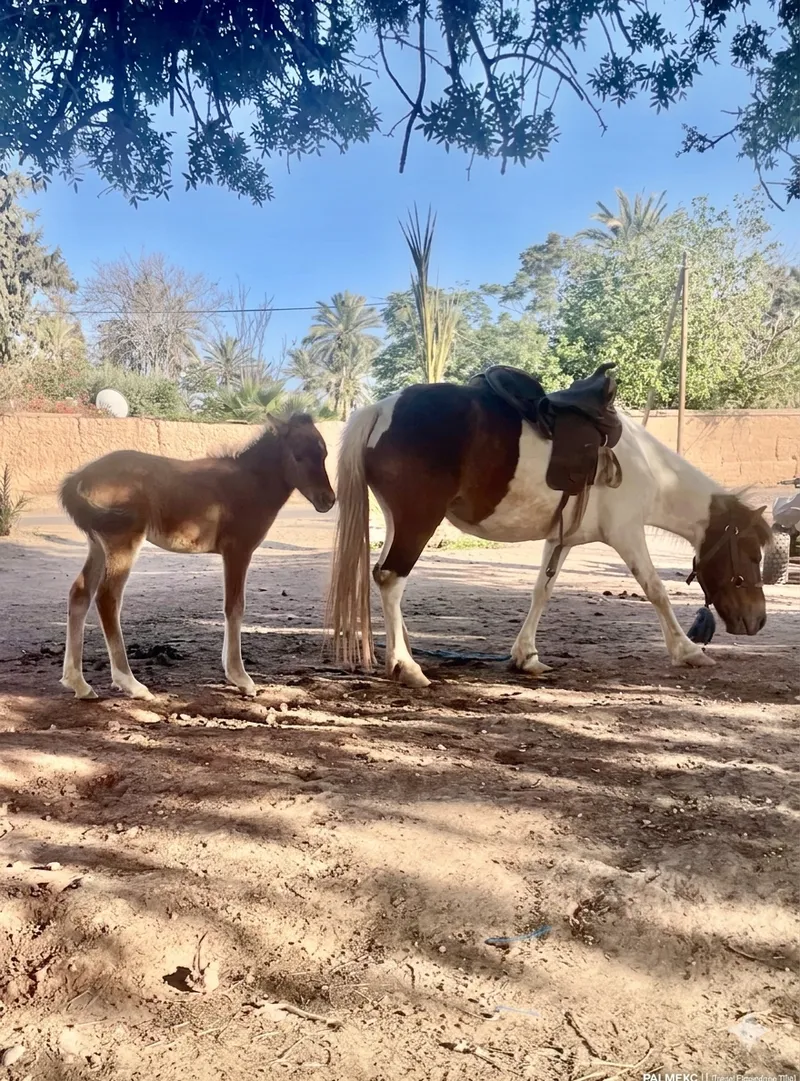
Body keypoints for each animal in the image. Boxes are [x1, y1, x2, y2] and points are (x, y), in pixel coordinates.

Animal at [59, 413, 335, 700]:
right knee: (107, 598)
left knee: (80, 594)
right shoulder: (238, 550)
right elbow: (234, 607)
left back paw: (79, 683)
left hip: (98, 546)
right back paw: (131, 684)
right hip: (123, 543)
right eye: (298, 455)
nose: (328, 500)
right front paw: (240, 677)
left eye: (323, 453)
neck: (249, 482)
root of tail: (80, 477)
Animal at [327, 382, 770, 688]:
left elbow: (542, 590)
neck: (649, 467)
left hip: (398, 521)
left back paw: (402, 652)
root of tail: (381, 409)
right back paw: (407, 666)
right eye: (753, 553)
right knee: (391, 578)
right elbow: (656, 590)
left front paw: (526, 657)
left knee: (385, 577)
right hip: (419, 520)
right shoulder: (627, 533)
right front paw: (688, 651)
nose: (757, 620)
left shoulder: (561, 540)